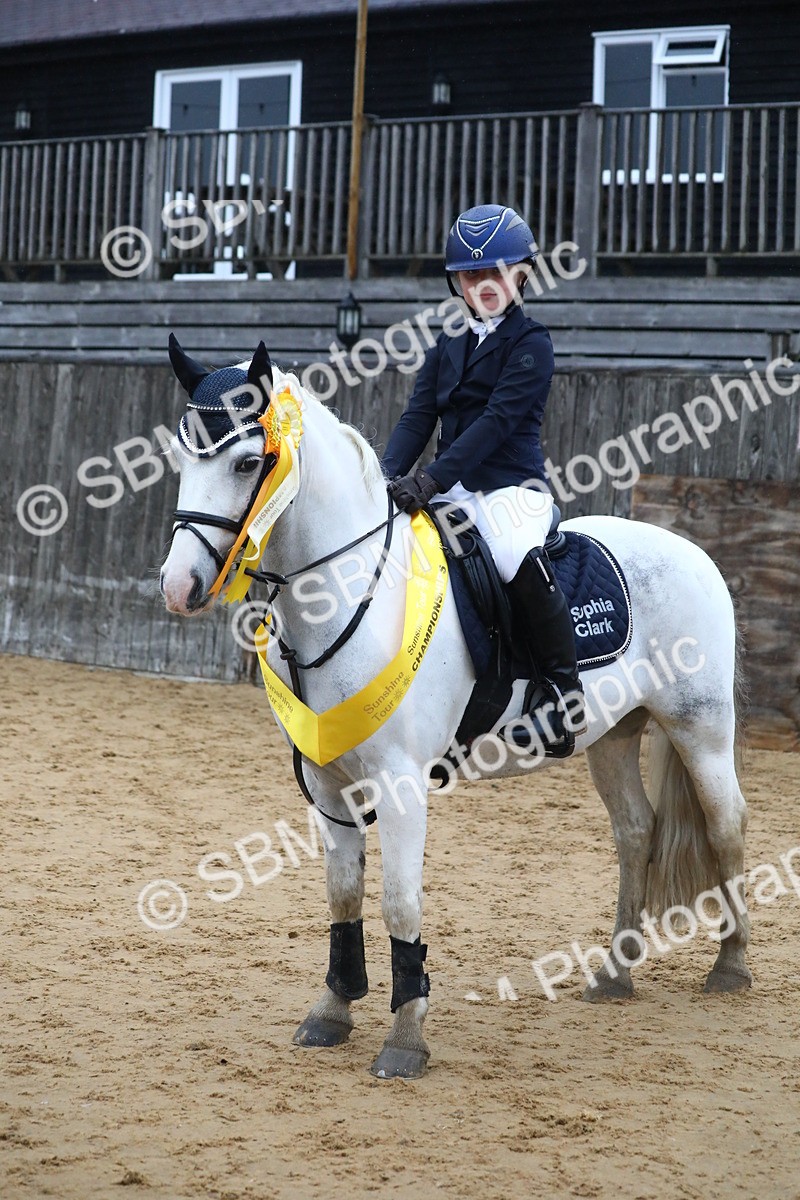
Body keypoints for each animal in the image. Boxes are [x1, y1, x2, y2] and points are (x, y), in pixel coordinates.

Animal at [159, 338, 751, 1080]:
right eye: (183, 462)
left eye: (246, 462)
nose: (178, 587)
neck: (345, 592)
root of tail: (692, 549)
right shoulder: (326, 780)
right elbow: (343, 894)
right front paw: (332, 1010)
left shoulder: (400, 780)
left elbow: (400, 901)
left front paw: (405, 1038)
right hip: (613, 736)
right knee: (636, 832)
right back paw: (615, 974)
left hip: (700, 728)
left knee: (726, 825)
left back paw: (731, 968)